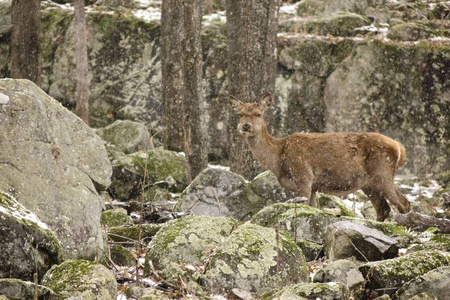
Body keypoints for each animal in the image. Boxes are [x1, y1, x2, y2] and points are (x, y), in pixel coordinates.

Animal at [230, 92, 410, 221]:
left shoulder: (303, 175)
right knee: (384, 208)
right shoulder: (314, 187)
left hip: (382, 171)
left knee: (403, 203)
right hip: (369, 183)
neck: (279, 160)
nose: (245, 126)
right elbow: (313, 208)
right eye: (240, 114)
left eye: (258, 114)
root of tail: (399, 147)